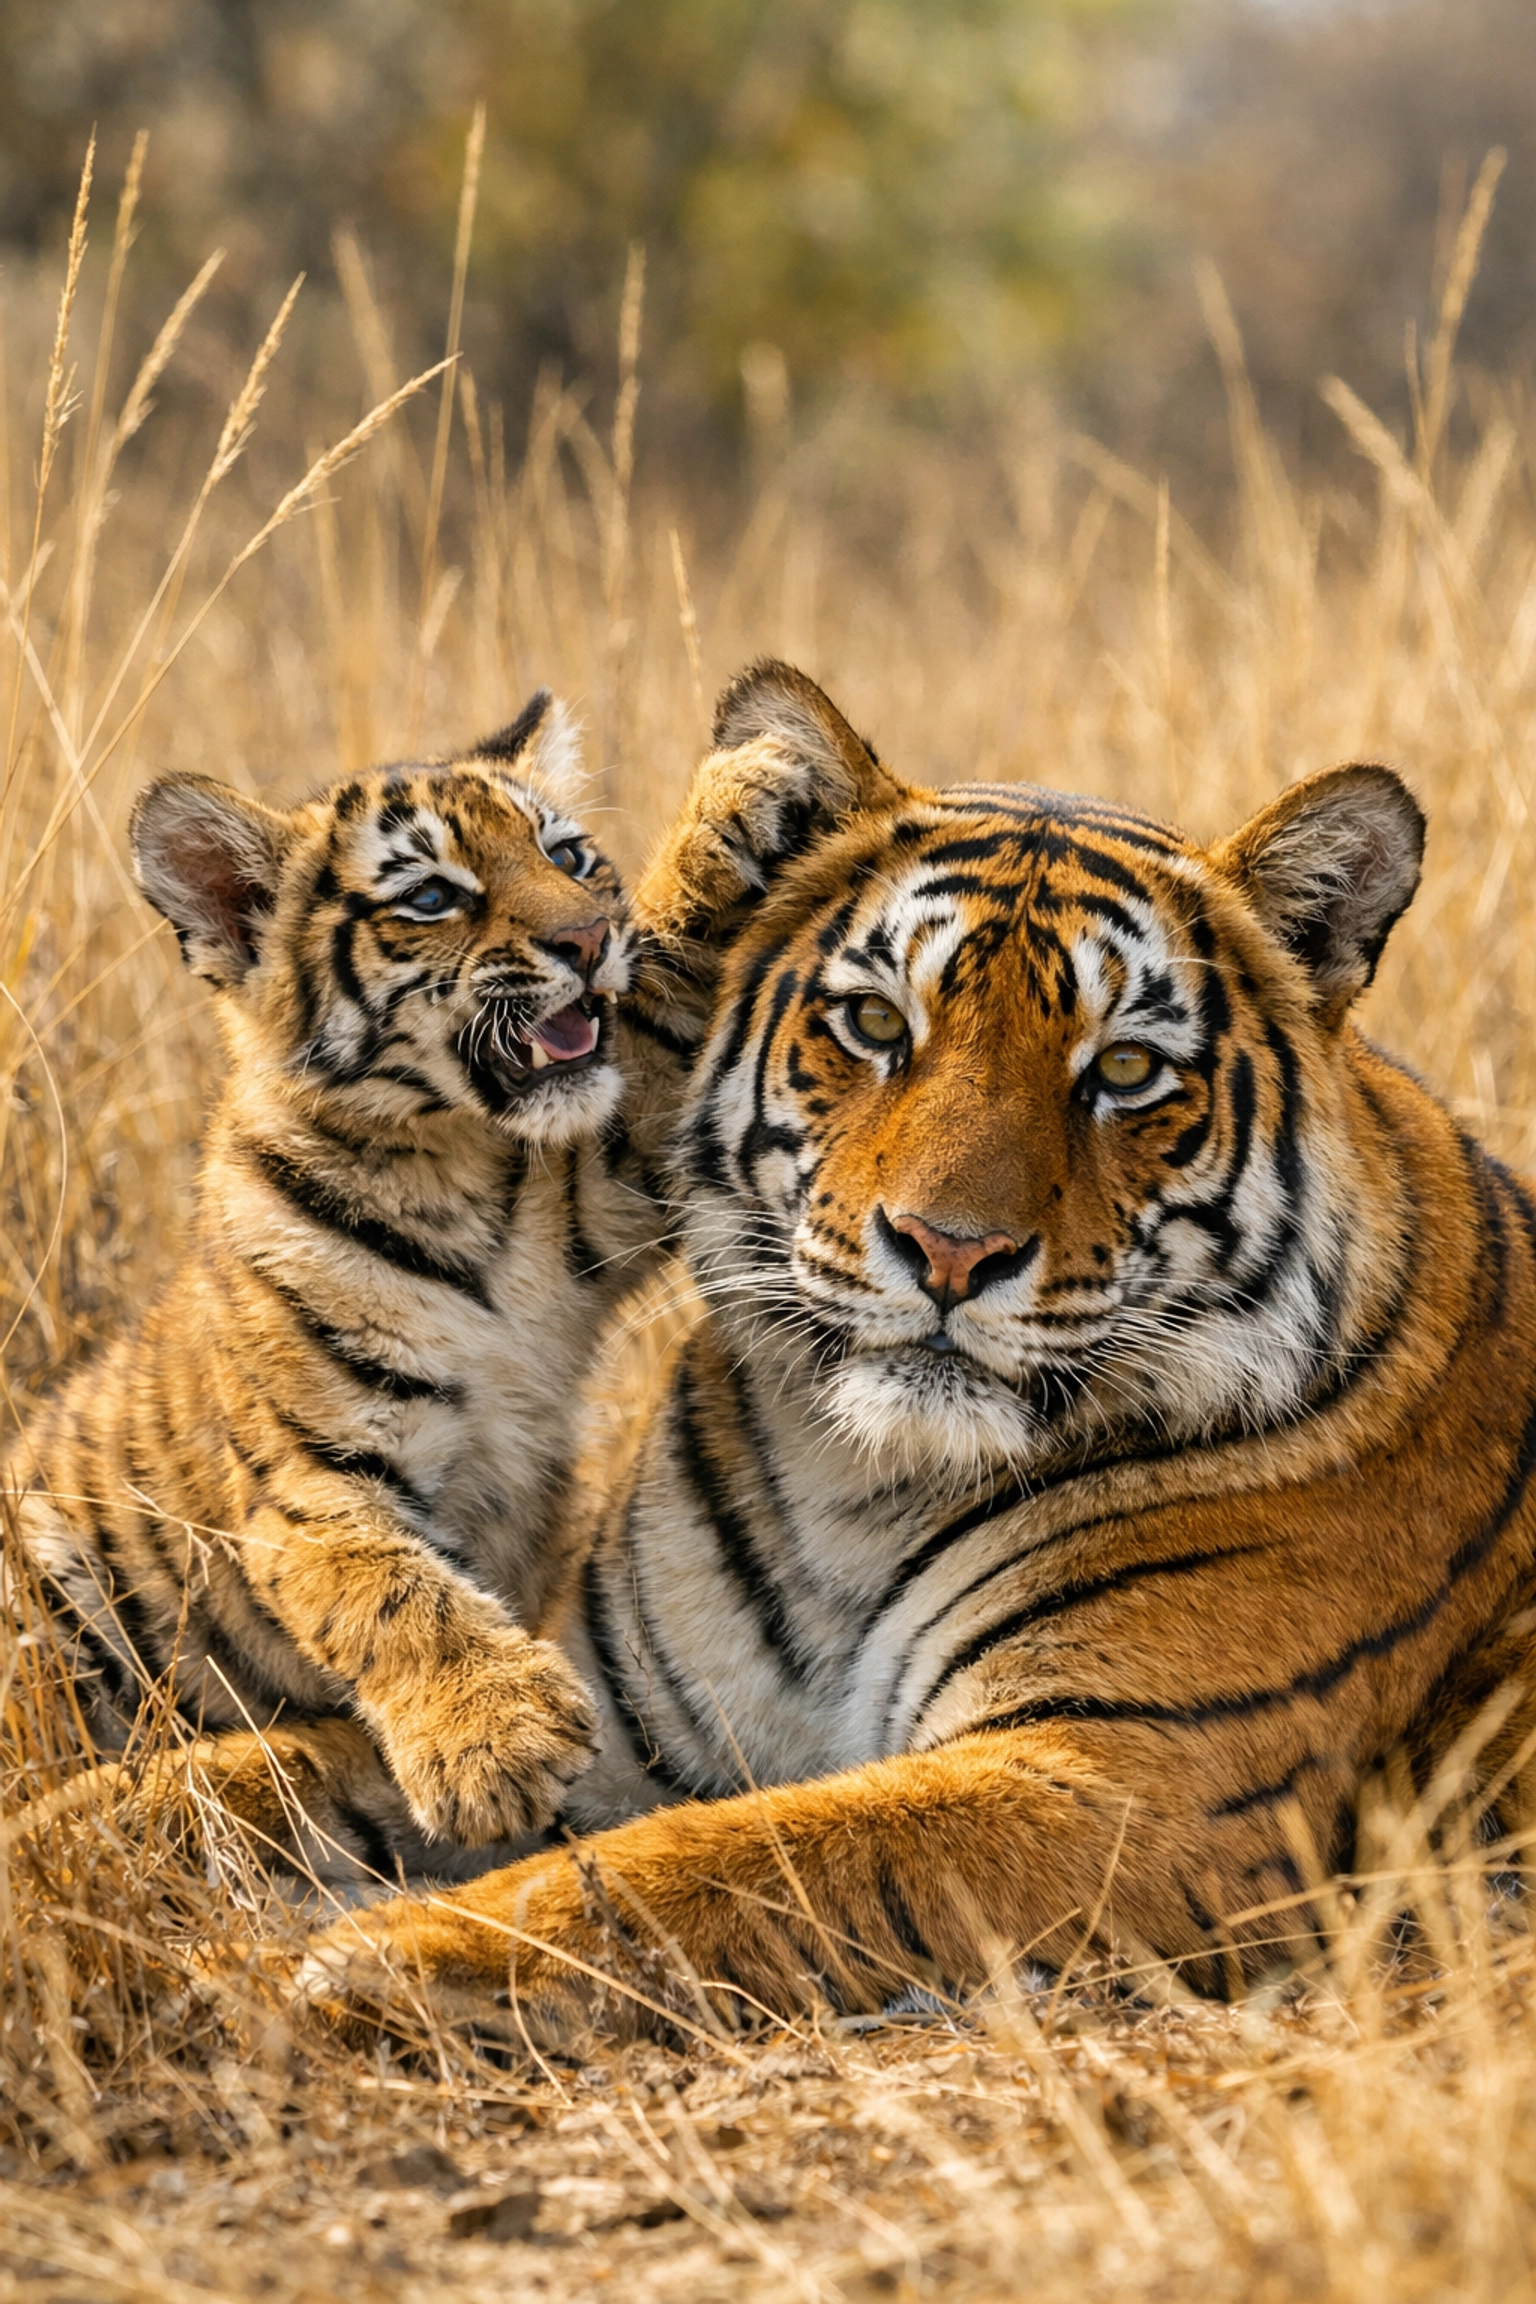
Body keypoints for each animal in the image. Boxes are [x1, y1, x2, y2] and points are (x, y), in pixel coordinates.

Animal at [4, 690, 692, 1882]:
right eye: (432, 896)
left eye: (569, 855)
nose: (593, 937)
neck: (455, 1168)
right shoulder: (310, 1478)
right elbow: (396, 1595)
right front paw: (499, 1743)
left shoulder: (609, 1178)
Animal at [300, 657, 1536, 2038]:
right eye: (875, 1023)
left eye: (1124, 1068)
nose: (949, 1252)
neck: (859, 1487)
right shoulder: (613, 1716)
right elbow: (270, 1767)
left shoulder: (1123, 1781)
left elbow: (730, 1862)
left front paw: (366, 1955)